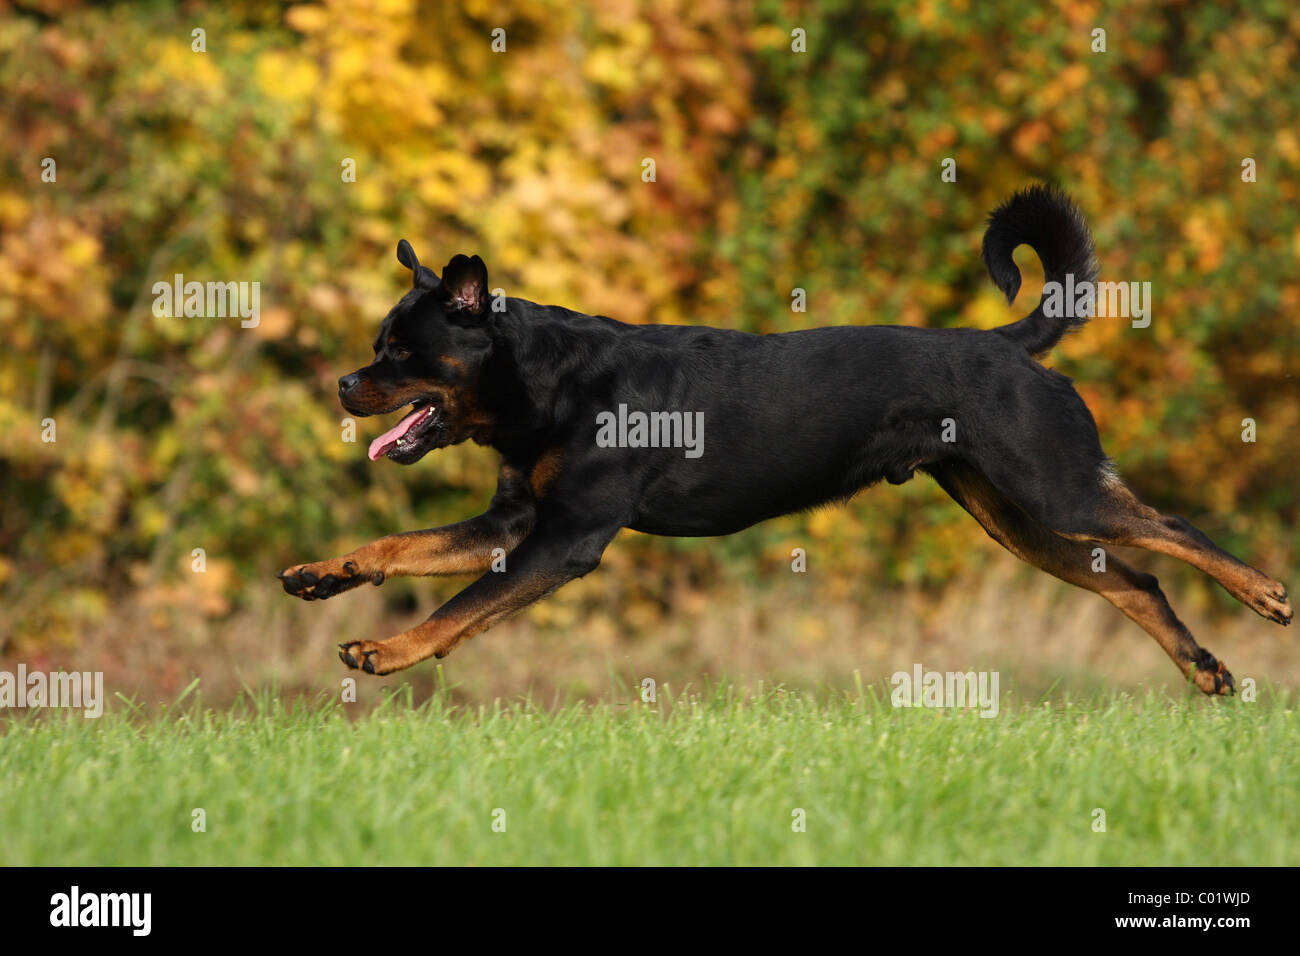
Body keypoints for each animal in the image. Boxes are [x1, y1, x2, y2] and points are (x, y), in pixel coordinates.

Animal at [282, 188, 1289, 697]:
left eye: (399, 353)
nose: (343, 384)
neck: (543, 381)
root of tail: (1010, 345)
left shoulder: (564, 539)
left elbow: (458, 609)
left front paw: (384, 653)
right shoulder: (511, 522)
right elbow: (401, 546)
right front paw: (322, 575)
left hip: (1053, 484)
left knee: (1171, 529)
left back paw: (1268, 594)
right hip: (1012, 515)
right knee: (1133, 579)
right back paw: (1206, 670)